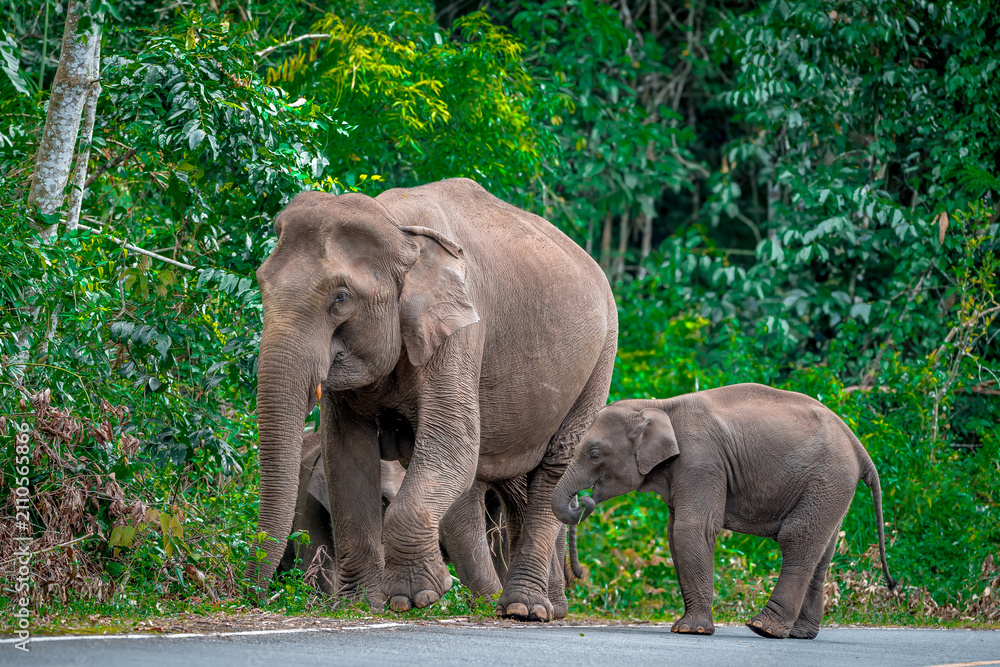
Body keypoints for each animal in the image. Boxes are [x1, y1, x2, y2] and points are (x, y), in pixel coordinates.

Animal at [252, 177, 617, 621]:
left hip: (600, 362)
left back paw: (524, 609)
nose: (247, 593)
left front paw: (417, 598)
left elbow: (453, 443)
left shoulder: (461, 330)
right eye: (261, 283)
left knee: (552, 468)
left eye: (340, 297)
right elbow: (345, 452)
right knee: (513, 482)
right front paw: (360, 604)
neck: (398, 226)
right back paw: (530, 605)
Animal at [552, 383, 896, 639]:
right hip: (832, 489)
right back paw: (799, 634)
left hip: (827, 480)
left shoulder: (701, 460)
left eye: (594, 454)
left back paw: (764, 628)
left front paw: (691, 631)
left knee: (798, 539)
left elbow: (692, 529)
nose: (584, 501)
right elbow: (674, 534)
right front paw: (686, 627)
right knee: (821, 554)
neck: (659, 407)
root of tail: (859, 447)